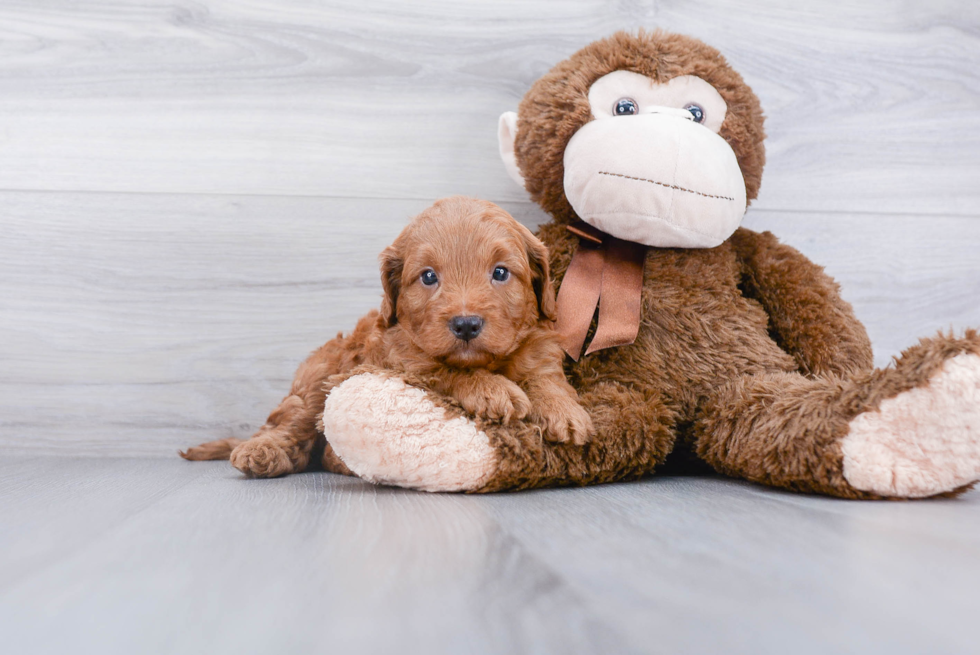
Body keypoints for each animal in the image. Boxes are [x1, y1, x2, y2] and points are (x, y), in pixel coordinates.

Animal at [185, 197, 596, 480]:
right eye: (428, 277)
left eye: (500, 272)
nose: (466, 325)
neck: (490, 360)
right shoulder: (401, 361)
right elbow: (444, 371)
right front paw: (491, 390)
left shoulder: (541, 351)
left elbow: (547, 381)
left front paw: (566, 412)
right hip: (318, 376)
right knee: (290, 423)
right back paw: (262, 452)